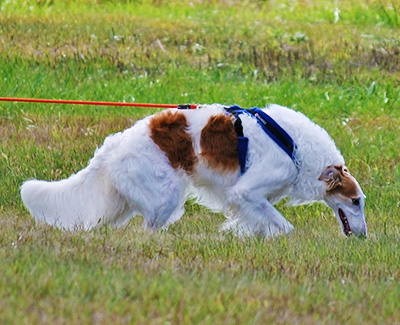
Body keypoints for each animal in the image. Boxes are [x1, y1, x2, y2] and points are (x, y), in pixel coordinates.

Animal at [20, 105, 368, 237]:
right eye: (356, 201)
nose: (364, 236)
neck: (295, 147)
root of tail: (115, 144)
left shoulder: (254, 199)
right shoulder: (246, 192)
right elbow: (285, 227)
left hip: (119, 203)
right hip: (166, 197)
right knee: (149, 229)